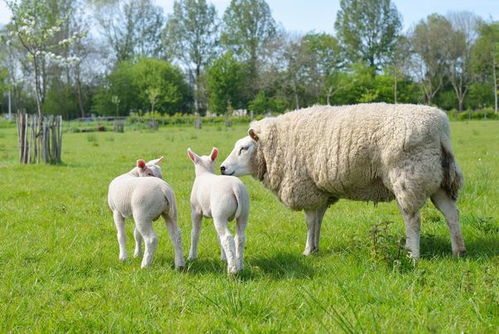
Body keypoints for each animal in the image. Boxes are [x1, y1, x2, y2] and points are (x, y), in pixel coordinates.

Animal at [188, 147, 250, 276]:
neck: (204, 173)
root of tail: (235, 187)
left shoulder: (196, 211)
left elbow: (195, 233)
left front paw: (192, 256)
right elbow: (218, 237)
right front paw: (223, 258)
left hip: (220, 213)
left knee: (227, 238)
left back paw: (232, 270)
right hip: (243, 212)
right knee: (240, 238)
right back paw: (240, 266)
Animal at [221, 103, 466, 260]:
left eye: (244, 148)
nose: (223, 168)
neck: (274, 146)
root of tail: (441, 127)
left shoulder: (305, 187)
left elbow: (309, 222)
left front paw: (308, 250)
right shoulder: (319, 190)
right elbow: (318, 221)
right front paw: (315, 248)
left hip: (408, 177)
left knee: (413, 219)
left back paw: (412, 254)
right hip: (436, 180)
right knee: (451, 214)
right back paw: (458, 251)